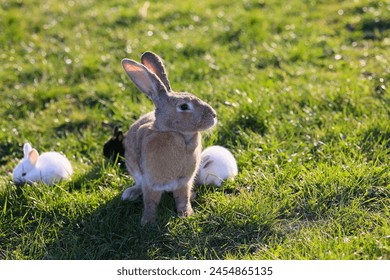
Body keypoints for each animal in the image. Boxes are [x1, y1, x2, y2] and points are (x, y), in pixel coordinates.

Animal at [120, 51, 216, 224]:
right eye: (184, 106)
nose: (214, 115)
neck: (178, 134)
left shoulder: (184, 182)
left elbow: (182, 198)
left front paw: (186, 214)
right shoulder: (151, 183)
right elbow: (150, 202)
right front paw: (147, 222)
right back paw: (129, 194)